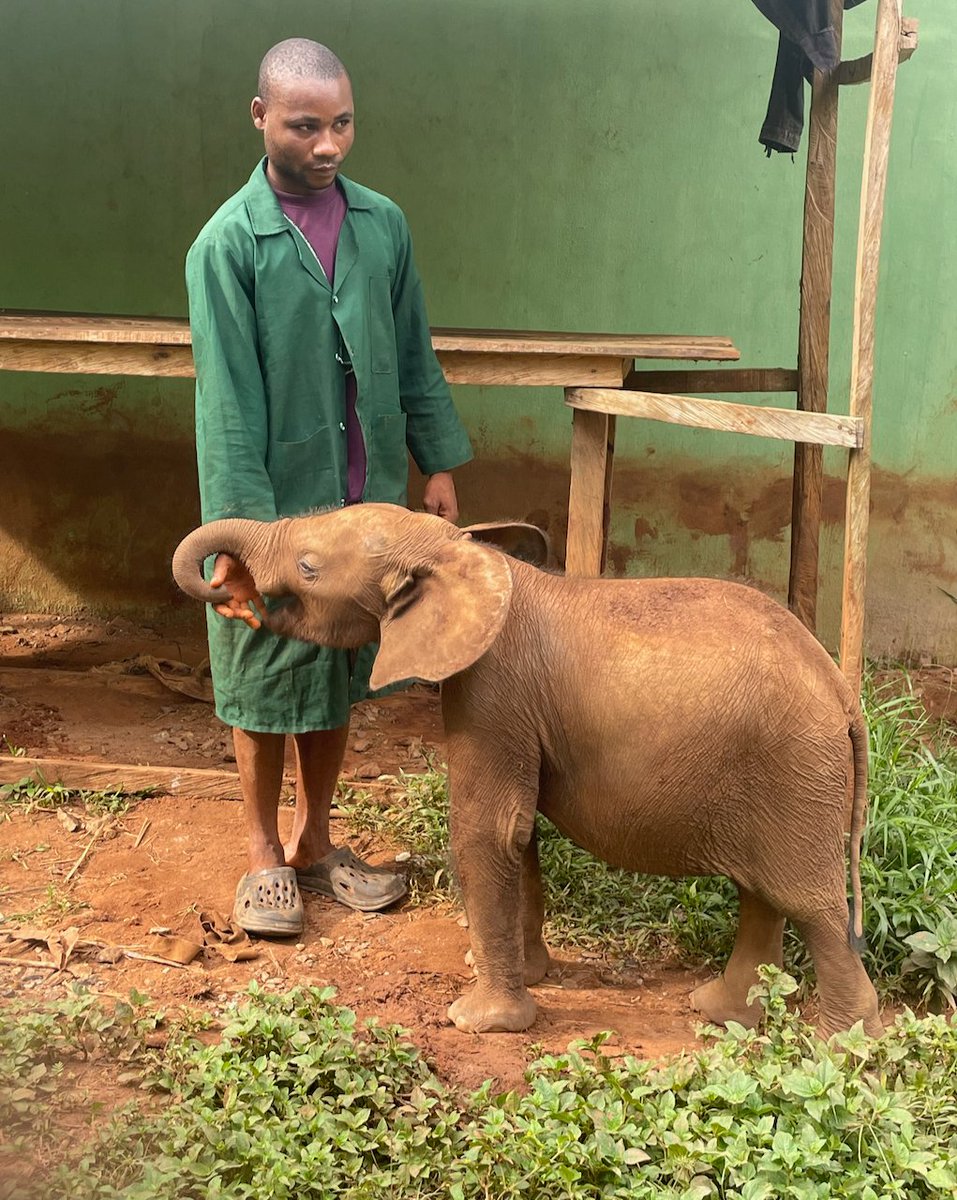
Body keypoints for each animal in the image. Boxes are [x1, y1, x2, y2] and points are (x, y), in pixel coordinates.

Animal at [172, 502, 882, 1039]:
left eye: (309, 567)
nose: (229, 586)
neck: (457, 553)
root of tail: (843, 694)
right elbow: (522, 836)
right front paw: (523, 973)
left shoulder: (492, 690)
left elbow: (488, 830)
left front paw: (479, 1021)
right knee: (763, 893)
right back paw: (725, 1013)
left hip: (795, 769)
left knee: (810, 903)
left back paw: (839, 1047)